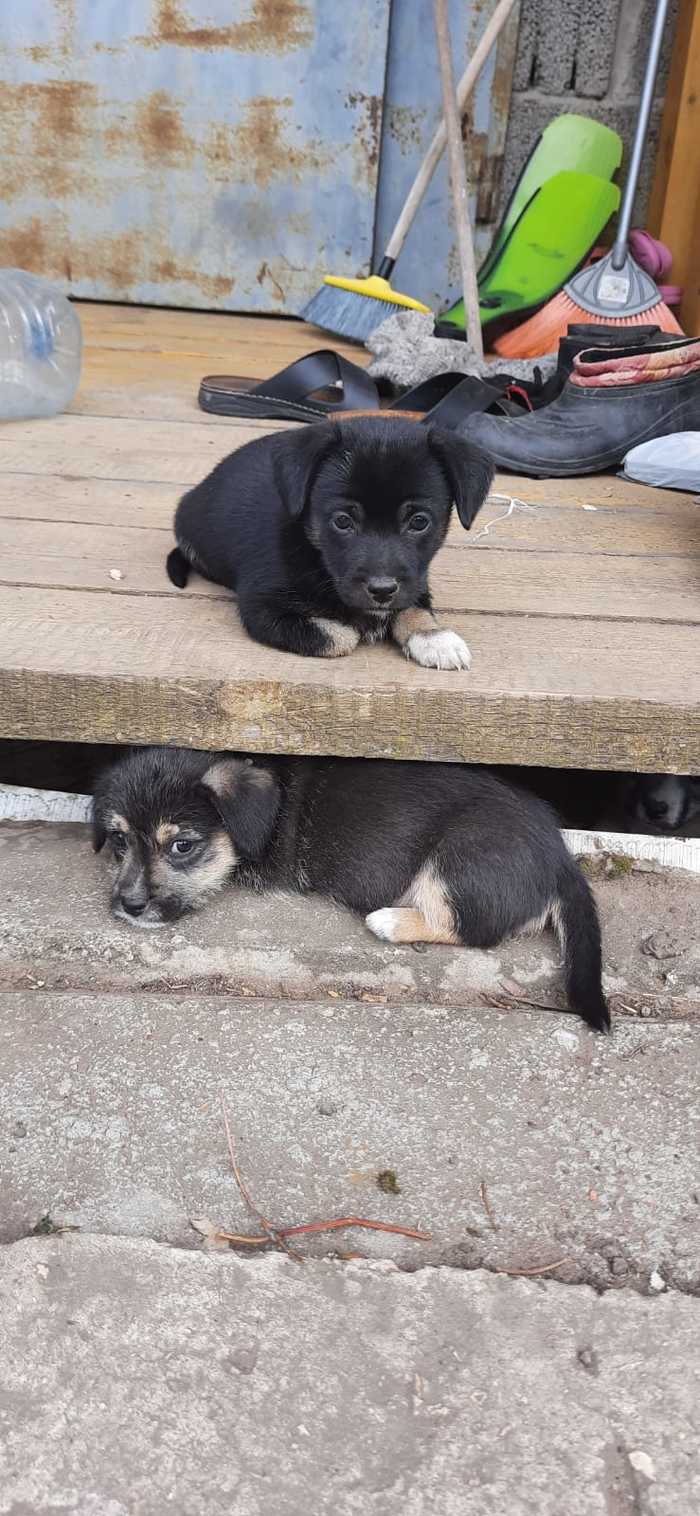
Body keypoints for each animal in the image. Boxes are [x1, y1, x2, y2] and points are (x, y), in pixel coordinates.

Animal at [94, 742, 612, 1030]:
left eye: (182, 845)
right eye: (118, 840)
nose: (130, 905)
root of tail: (561, 859)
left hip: (460, 859)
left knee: (470, 928)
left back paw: (391, 921)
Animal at [165, 418, 490, 673]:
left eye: (419, 522)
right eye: (343, 521)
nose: (382, 590)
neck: (316, 555)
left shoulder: (416, 581)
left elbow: (415, 607)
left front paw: (434, 638)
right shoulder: (262, 607)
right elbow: (343, 636)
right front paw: (367, 625)